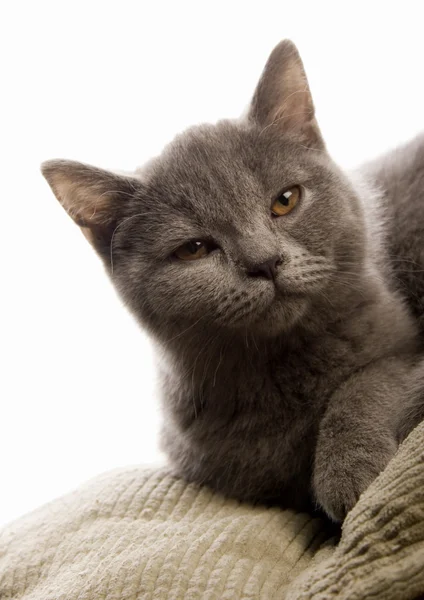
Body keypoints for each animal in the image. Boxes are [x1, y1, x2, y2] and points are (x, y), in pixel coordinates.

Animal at [41, 41, 424, 520]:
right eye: (194, 249)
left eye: (285, 201)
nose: (265, 262)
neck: (283, 365)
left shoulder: (408, 352)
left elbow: (368, 380)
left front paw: (350, 473)